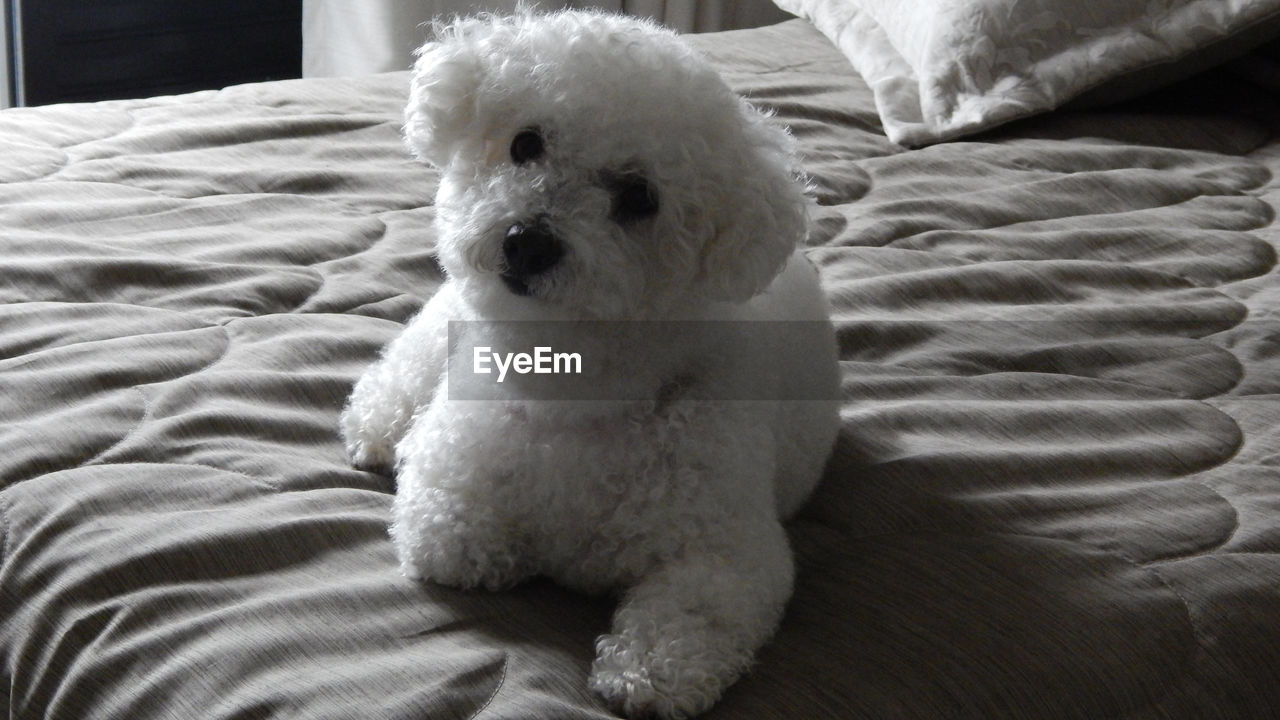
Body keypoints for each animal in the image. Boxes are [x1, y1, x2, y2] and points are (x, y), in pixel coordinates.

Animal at [340, 11, 839, 717]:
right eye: (525, 144)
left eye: (639, 197)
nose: (526, 242)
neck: (573, 386)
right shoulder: (446, 490)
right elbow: (460, 542)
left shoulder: (731, 553)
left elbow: (692, 617)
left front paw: (646, 672)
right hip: (443, 324)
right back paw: (376, 429)